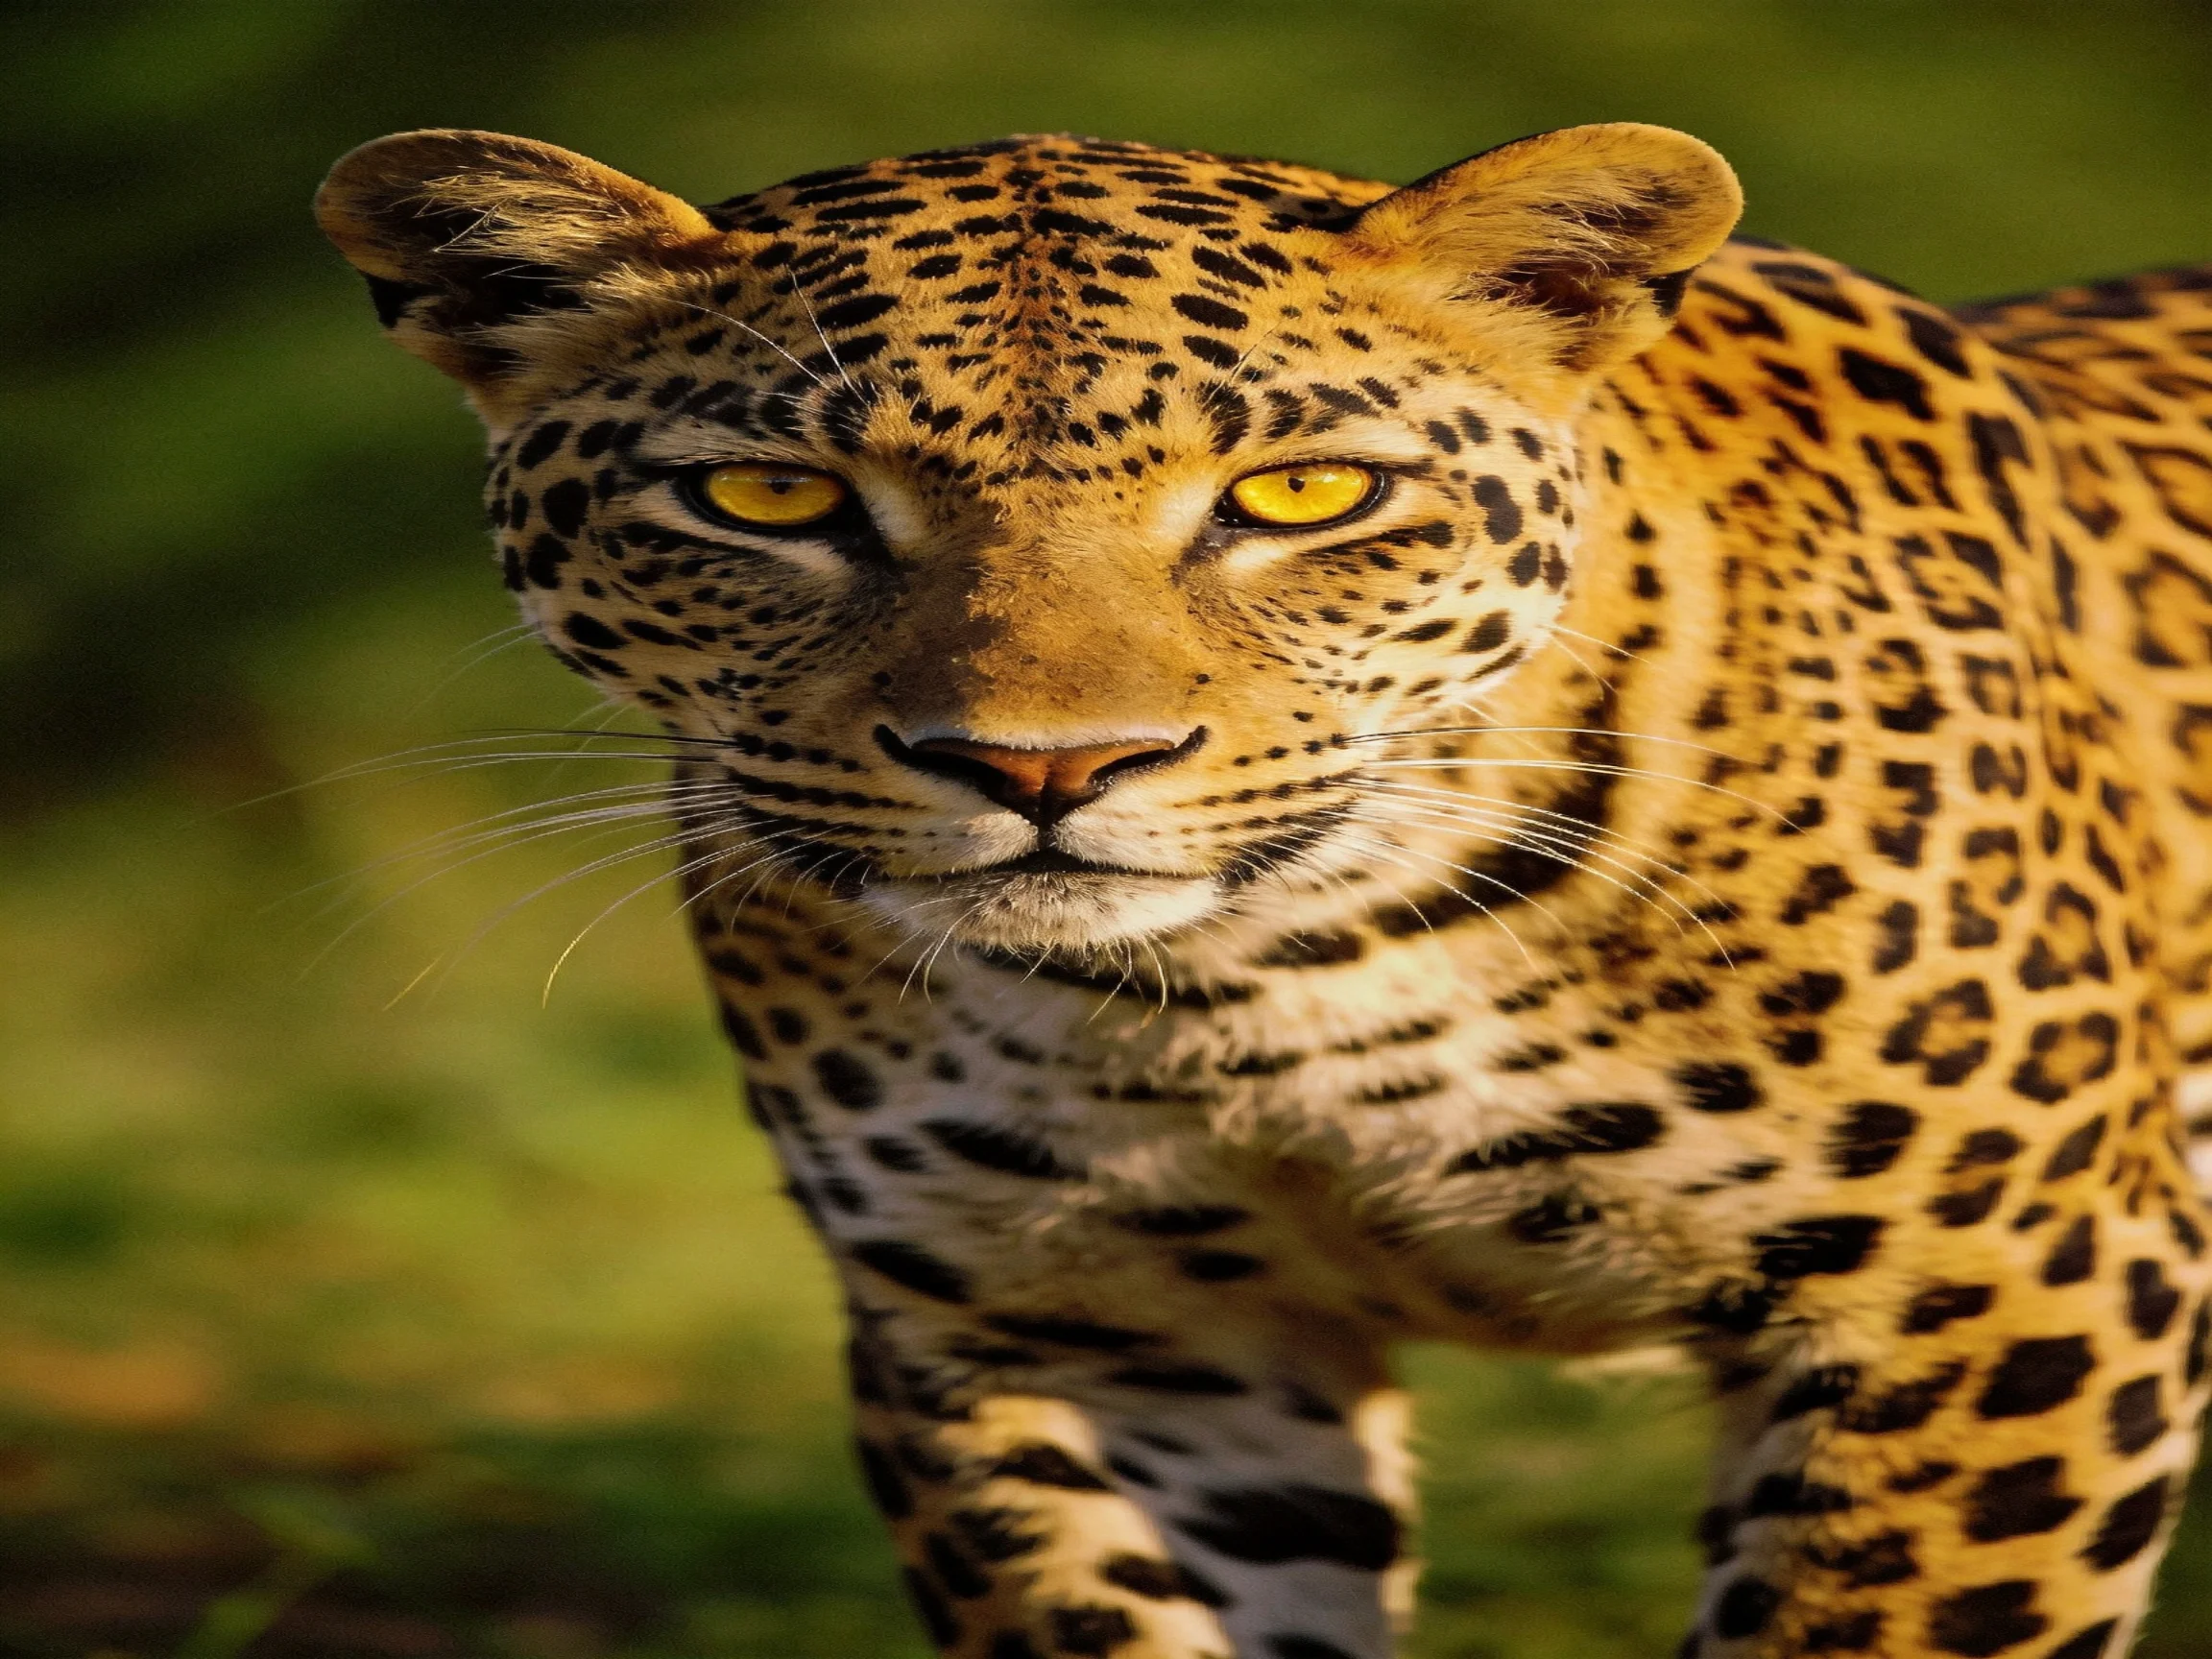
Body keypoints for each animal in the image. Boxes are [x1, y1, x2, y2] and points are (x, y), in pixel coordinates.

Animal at [315, 120, 2212, 1658]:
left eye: (1302, 492)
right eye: (769, 495)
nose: (1045, 769)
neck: (1272, 976)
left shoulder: (1982, 1290)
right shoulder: (1089, 1336)